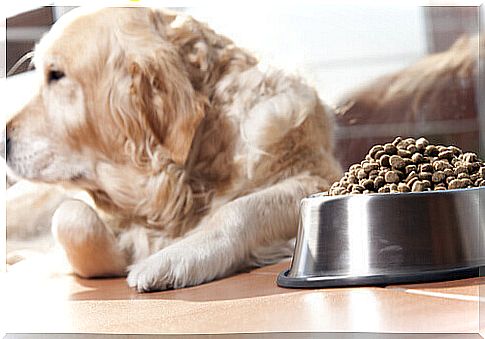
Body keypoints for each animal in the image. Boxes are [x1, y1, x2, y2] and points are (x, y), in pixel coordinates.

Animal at [5, 7, 342, 292]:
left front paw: (174, 256)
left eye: (56, 75)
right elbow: (71, 215)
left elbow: (240, 208)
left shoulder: (317, 175)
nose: (1, 143)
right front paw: (120, 256)